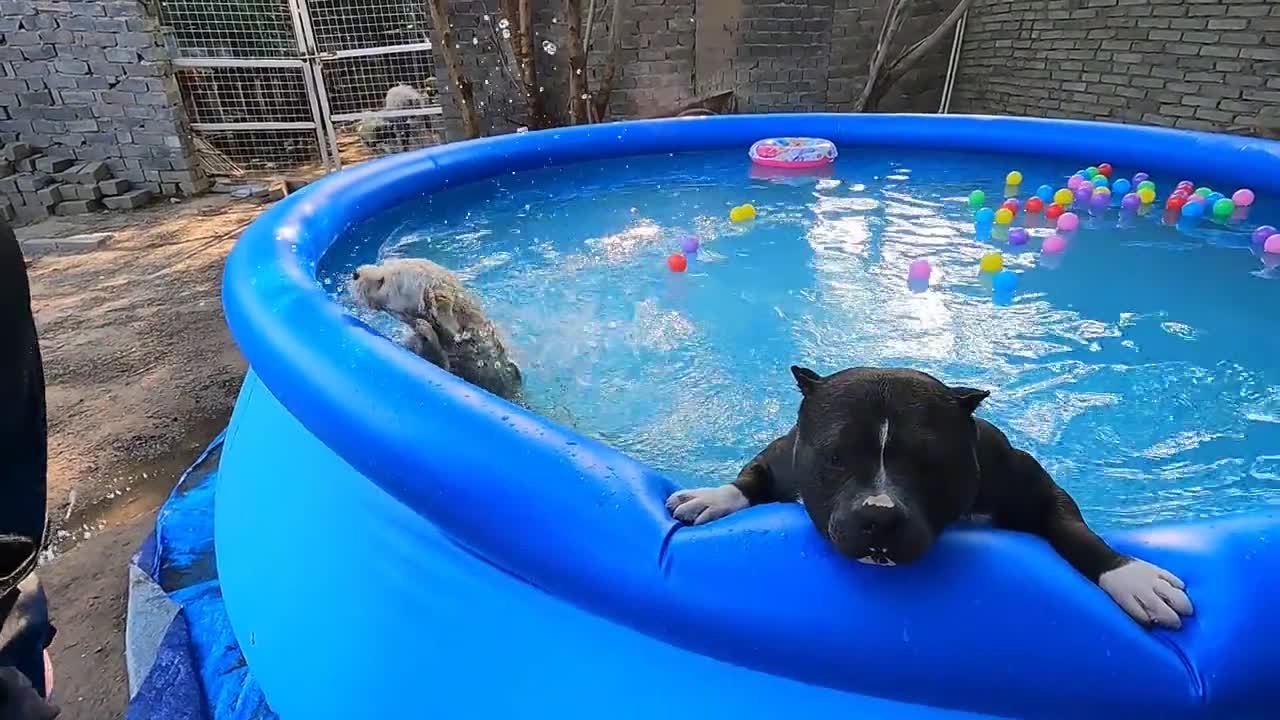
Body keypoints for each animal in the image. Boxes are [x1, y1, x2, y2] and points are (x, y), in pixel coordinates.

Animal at [665, 366, 1192, 625]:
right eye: (835, 458)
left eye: (929, 462)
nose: (878, 517)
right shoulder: (785, 456)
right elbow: (752, 477)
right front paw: (714, 497)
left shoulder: (1034, 486)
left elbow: (1073, 530)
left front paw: (1131, 576)